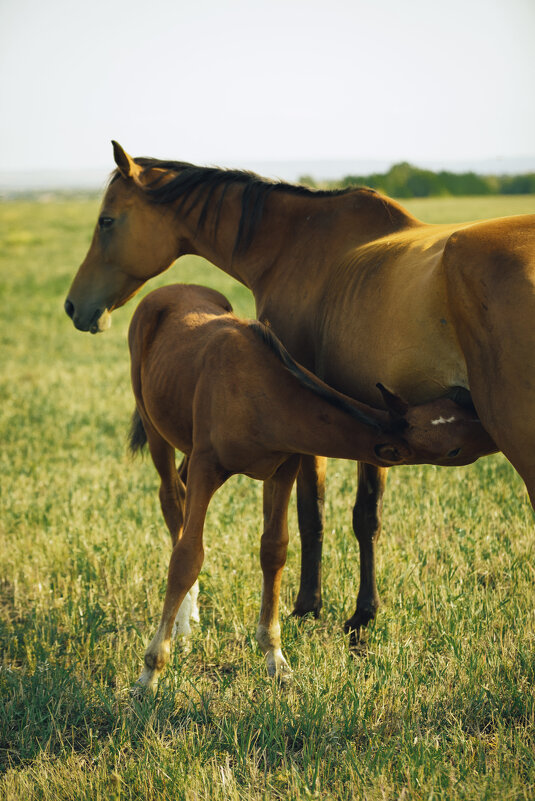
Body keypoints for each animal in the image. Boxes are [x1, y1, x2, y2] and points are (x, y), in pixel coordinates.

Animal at [65, 142, 532, 644]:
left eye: (107, 221)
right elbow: (365, 517)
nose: (73, 306)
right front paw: (362, 616)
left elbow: (311, 514)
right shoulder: (370, 418)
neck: (299, 244)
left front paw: (310, 606)